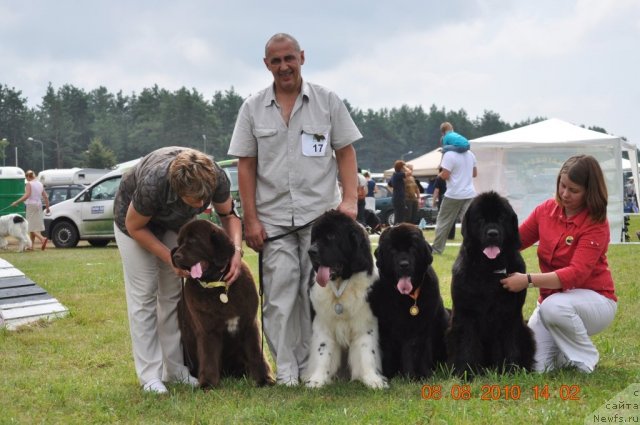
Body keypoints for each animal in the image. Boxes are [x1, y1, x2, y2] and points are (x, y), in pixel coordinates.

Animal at [170, 219, 272, 388]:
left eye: (193, 240)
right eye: (179, 242)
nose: (176, 256)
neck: (218, 284)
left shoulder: (249, 323)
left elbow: (256, 353)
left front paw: (264, 380)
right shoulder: (207, 329)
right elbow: (209, 357)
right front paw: (208, 384)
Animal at [304, 209, 384, 388]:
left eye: (332, 236)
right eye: (315, 237)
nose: (311, 251)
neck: (341, 286)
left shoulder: (365, 323)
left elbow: (367, 350)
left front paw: (372, 379)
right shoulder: (322, 323)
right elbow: (323, 350)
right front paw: (317, 380)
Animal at [368, 224, 452, 380]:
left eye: (413, 248)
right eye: (392, 250)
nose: (404, 264)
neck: (408, 298)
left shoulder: (424, 327)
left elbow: (420, 352)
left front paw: (421, 376)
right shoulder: (388, 327)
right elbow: (390, 352)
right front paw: (391, 375)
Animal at [448, 190, 536, 376]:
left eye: (502, 218)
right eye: (480, 219)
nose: (492, 233)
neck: (489, 270)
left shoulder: (510, 312)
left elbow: (510, 343)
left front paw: (511, 370)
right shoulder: (466, 312)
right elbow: (467, 343)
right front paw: (466, 372)